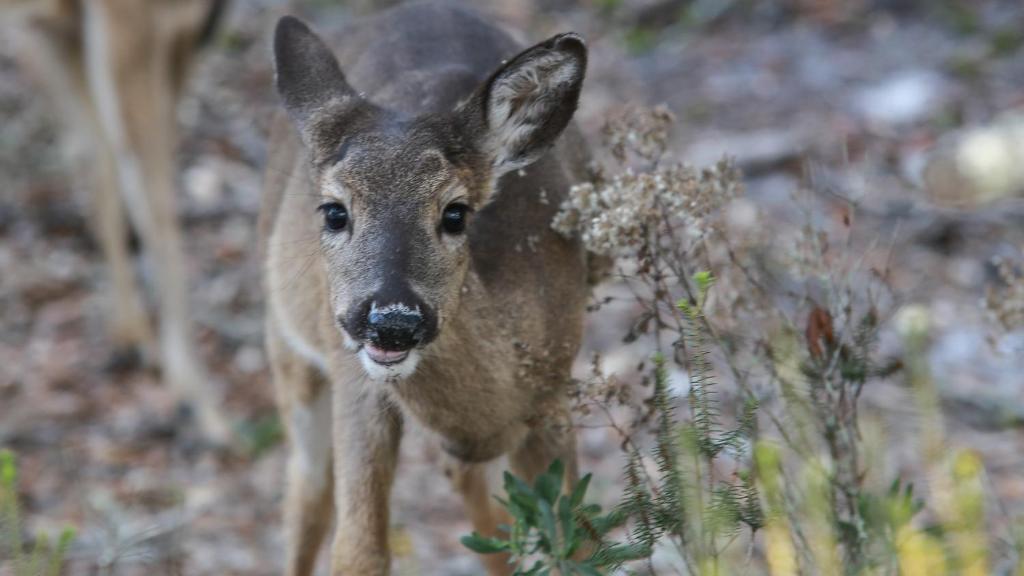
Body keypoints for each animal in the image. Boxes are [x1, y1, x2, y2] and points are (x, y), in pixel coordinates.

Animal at [2, 0, 231, 443]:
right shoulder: (137, 20)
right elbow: (155, 206)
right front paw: (198, 402)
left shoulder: (59, 33)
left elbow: (101, 168)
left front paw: (130, 336)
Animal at [261, 2, 597, 574]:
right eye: (334, 211)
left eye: (455, 213)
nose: (393, 320)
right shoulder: (358, 385)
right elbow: (358, 550)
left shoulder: (553, 393)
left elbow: (578, 543)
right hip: (289, 345)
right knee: (307, 493)